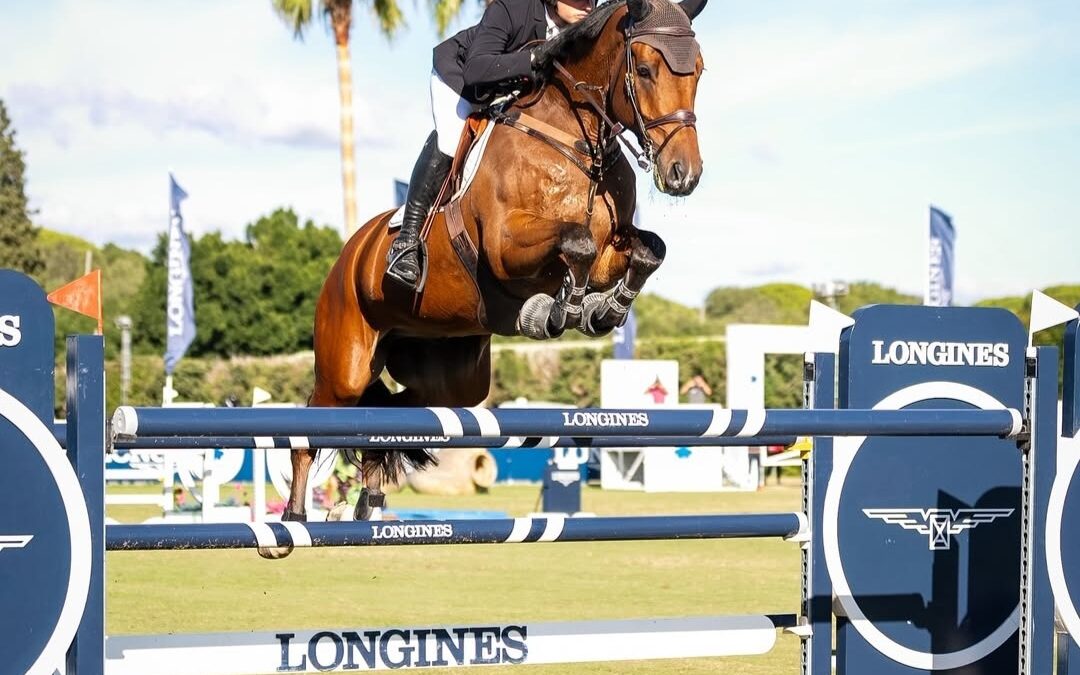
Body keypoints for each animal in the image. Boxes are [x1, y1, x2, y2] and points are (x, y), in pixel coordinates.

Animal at [276, 0, 708, 531]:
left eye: (699, 72)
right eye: (645, 70)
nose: (683, 174)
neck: (574, 141)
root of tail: (349, 253)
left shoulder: (617, 244)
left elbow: (648, 250)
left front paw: (605, 309)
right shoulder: (507, 247)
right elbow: (578, 243)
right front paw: (560, 310)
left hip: (450, 370)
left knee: (390, 415)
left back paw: (369, 501)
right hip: (346, 364)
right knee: (317, 422)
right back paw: (292, 519)